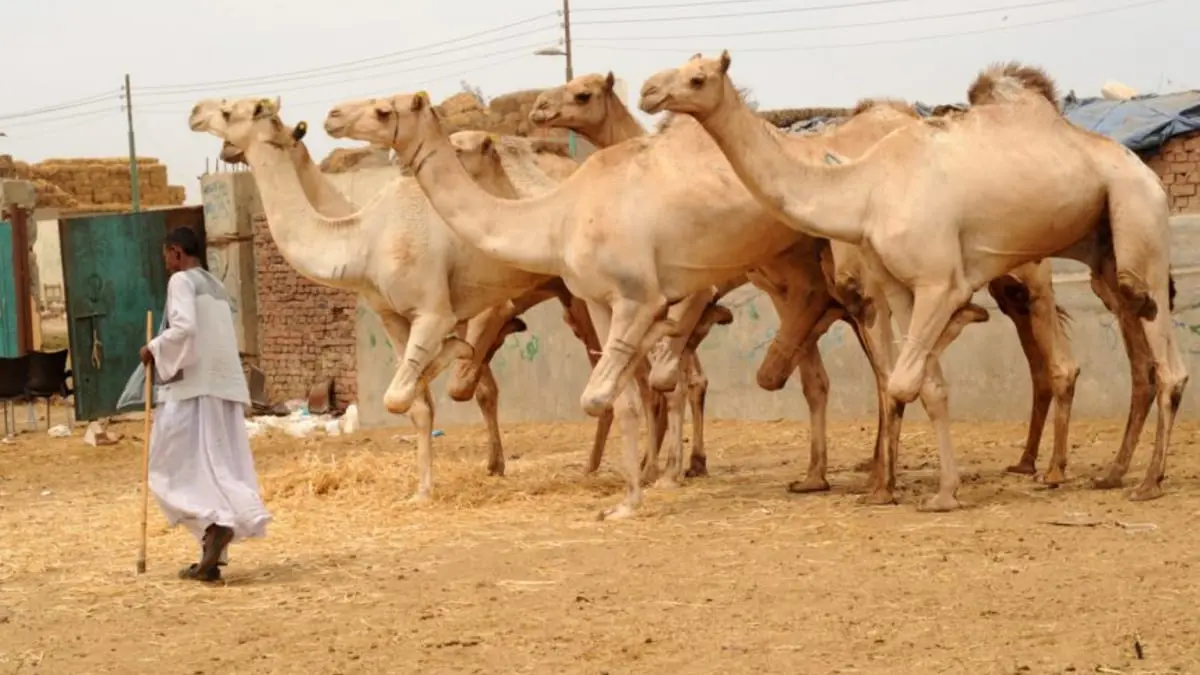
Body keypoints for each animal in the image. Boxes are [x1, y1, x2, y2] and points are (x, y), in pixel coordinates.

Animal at [530, 72, 1084, 487]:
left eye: (582, 93)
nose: (537, 108)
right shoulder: (783, 290)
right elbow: (804, 380)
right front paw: (811, 473)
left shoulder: (709, 286)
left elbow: (673, 377)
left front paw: (668, 471)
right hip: (994, 275)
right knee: (1030, 352)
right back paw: (1026, 461)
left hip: (1001, 266)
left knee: (1043, 353)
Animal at [643, 51, 1185, 504]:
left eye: (697, 77)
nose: (649, 90)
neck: (864, 188)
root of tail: (1145, 170)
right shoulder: (902, 289)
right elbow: (928, 385)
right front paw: (945, 491)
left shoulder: (934, 281)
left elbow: (902, 380)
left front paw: (892, 486)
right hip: (1101, 251)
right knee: (1133, 346)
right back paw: (1111, 473)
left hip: (1135, 219)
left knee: (1159, 354)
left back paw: (1145, 481)